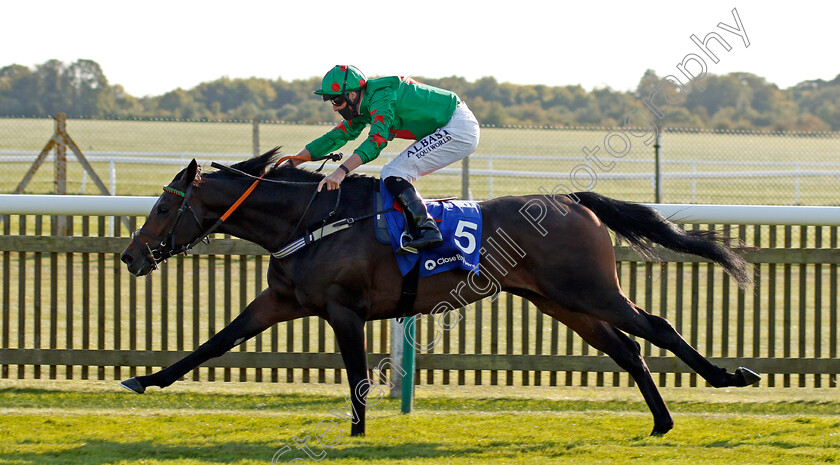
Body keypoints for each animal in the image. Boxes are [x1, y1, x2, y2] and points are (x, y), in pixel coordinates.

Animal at [120, 148, 760, 436]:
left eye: (162, 208)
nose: (129, 257)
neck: (312, 219)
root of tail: (573, 199)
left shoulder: (344, 310)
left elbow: (356, 375)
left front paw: (356, 432)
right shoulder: (281, 302)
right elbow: (215, 342)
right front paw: (145, 380)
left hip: (591, 291)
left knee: (657, 327)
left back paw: (730, 377)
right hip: (560, 301)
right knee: (627, 349)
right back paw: (661, 422)